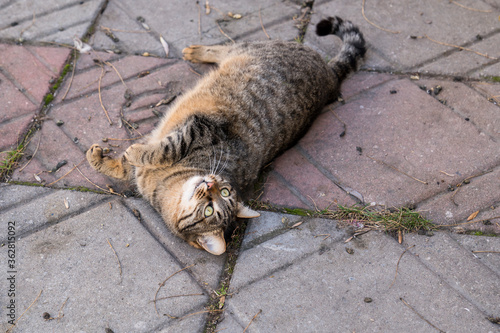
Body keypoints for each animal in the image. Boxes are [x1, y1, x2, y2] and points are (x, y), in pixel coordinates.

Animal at [88, 15, 366, 254]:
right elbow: (129, 162)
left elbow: (161, 150)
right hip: (252, 50)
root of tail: (330, 75)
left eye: (211, 210)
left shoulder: (199, 129)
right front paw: (101, 159)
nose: (210, 184)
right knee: (227, 48)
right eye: (222, 193)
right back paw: (196, 50)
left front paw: (133, 153)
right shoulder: (192, 129)